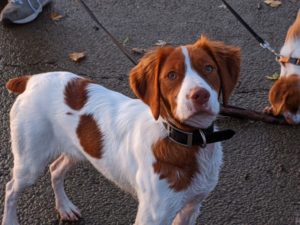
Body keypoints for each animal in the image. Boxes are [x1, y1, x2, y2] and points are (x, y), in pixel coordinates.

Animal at [1, 37, 240, 225]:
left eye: (209, 68)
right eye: (172, 75)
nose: (200, 95)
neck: (184, 142)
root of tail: (31, 79)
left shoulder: (192, 207)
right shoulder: (152, 216)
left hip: (77, 149)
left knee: (56, 168)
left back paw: (65, 208)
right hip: (30, 161)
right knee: (11, 188)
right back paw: (10, 220)